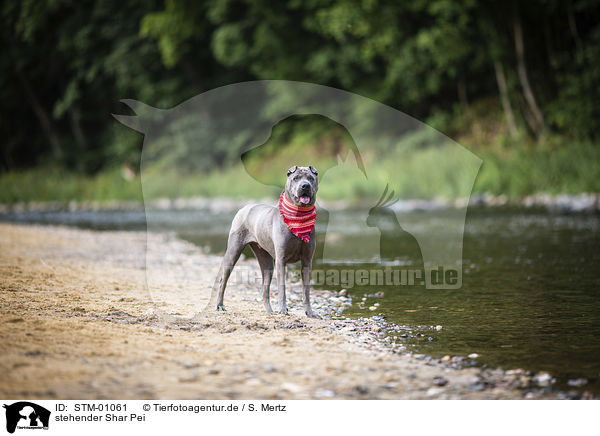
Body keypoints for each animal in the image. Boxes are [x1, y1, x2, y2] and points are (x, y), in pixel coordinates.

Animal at [212, 165, 322, 318]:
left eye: (311, 178)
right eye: (296, 178)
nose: (305, 185)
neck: (298, 217)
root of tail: (244, 208)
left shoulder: (307, 261)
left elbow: (306, 290)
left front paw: (310, 312)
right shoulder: (281, 260)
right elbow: (282, 287)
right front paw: (283, 309)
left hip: (266, 261)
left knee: (265, 288)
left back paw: (270, 311)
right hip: (233, 251)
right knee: (224, 280)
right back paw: (220, 305)